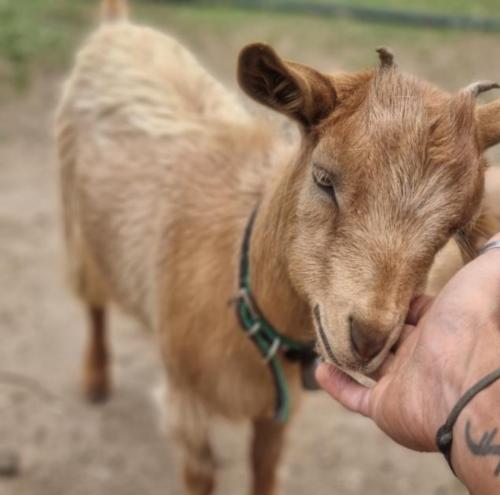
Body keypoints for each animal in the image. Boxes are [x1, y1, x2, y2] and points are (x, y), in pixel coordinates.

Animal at [56, 1, 500, 494]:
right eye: (323, 178)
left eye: (455, 226)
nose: (368, 338)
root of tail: (118, 27)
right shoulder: (186, 404)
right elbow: (200, 476)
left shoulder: (276, 412)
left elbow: (264, 467)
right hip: (77, 226)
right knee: (93, 300)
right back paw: (95, 378)